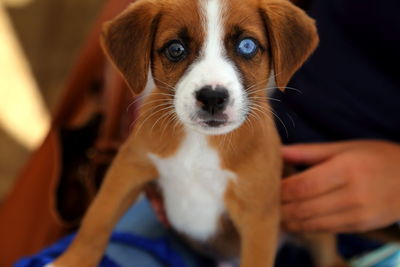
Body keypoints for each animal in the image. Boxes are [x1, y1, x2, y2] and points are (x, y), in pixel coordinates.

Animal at [48, 0, 340, 267]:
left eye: (247, 45)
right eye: (176, 49)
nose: (212, 97)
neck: (200, 142)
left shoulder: (258, 216)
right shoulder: (127, 170)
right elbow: (96, 221)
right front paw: (70, 262)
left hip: (314, 231)